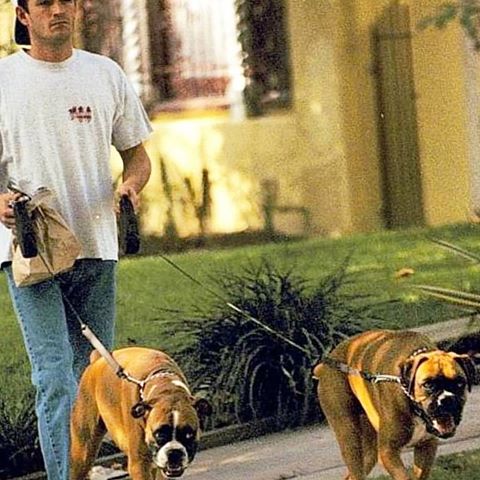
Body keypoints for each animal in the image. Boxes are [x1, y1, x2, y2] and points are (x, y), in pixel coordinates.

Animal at [71, 348, 212, 480]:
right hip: (83, 453)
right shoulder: (139, 464)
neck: (167, 389)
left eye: (189, 434)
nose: (174, 452)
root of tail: (97, 359)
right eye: (159, 434)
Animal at [314, 330, 474, 480]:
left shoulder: (427, 446)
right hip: (350, 439)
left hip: (369, 452)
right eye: (428, 385)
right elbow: (403, 476)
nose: (447, 399)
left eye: (460, 383)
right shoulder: (388, 452)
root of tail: (326, 363)